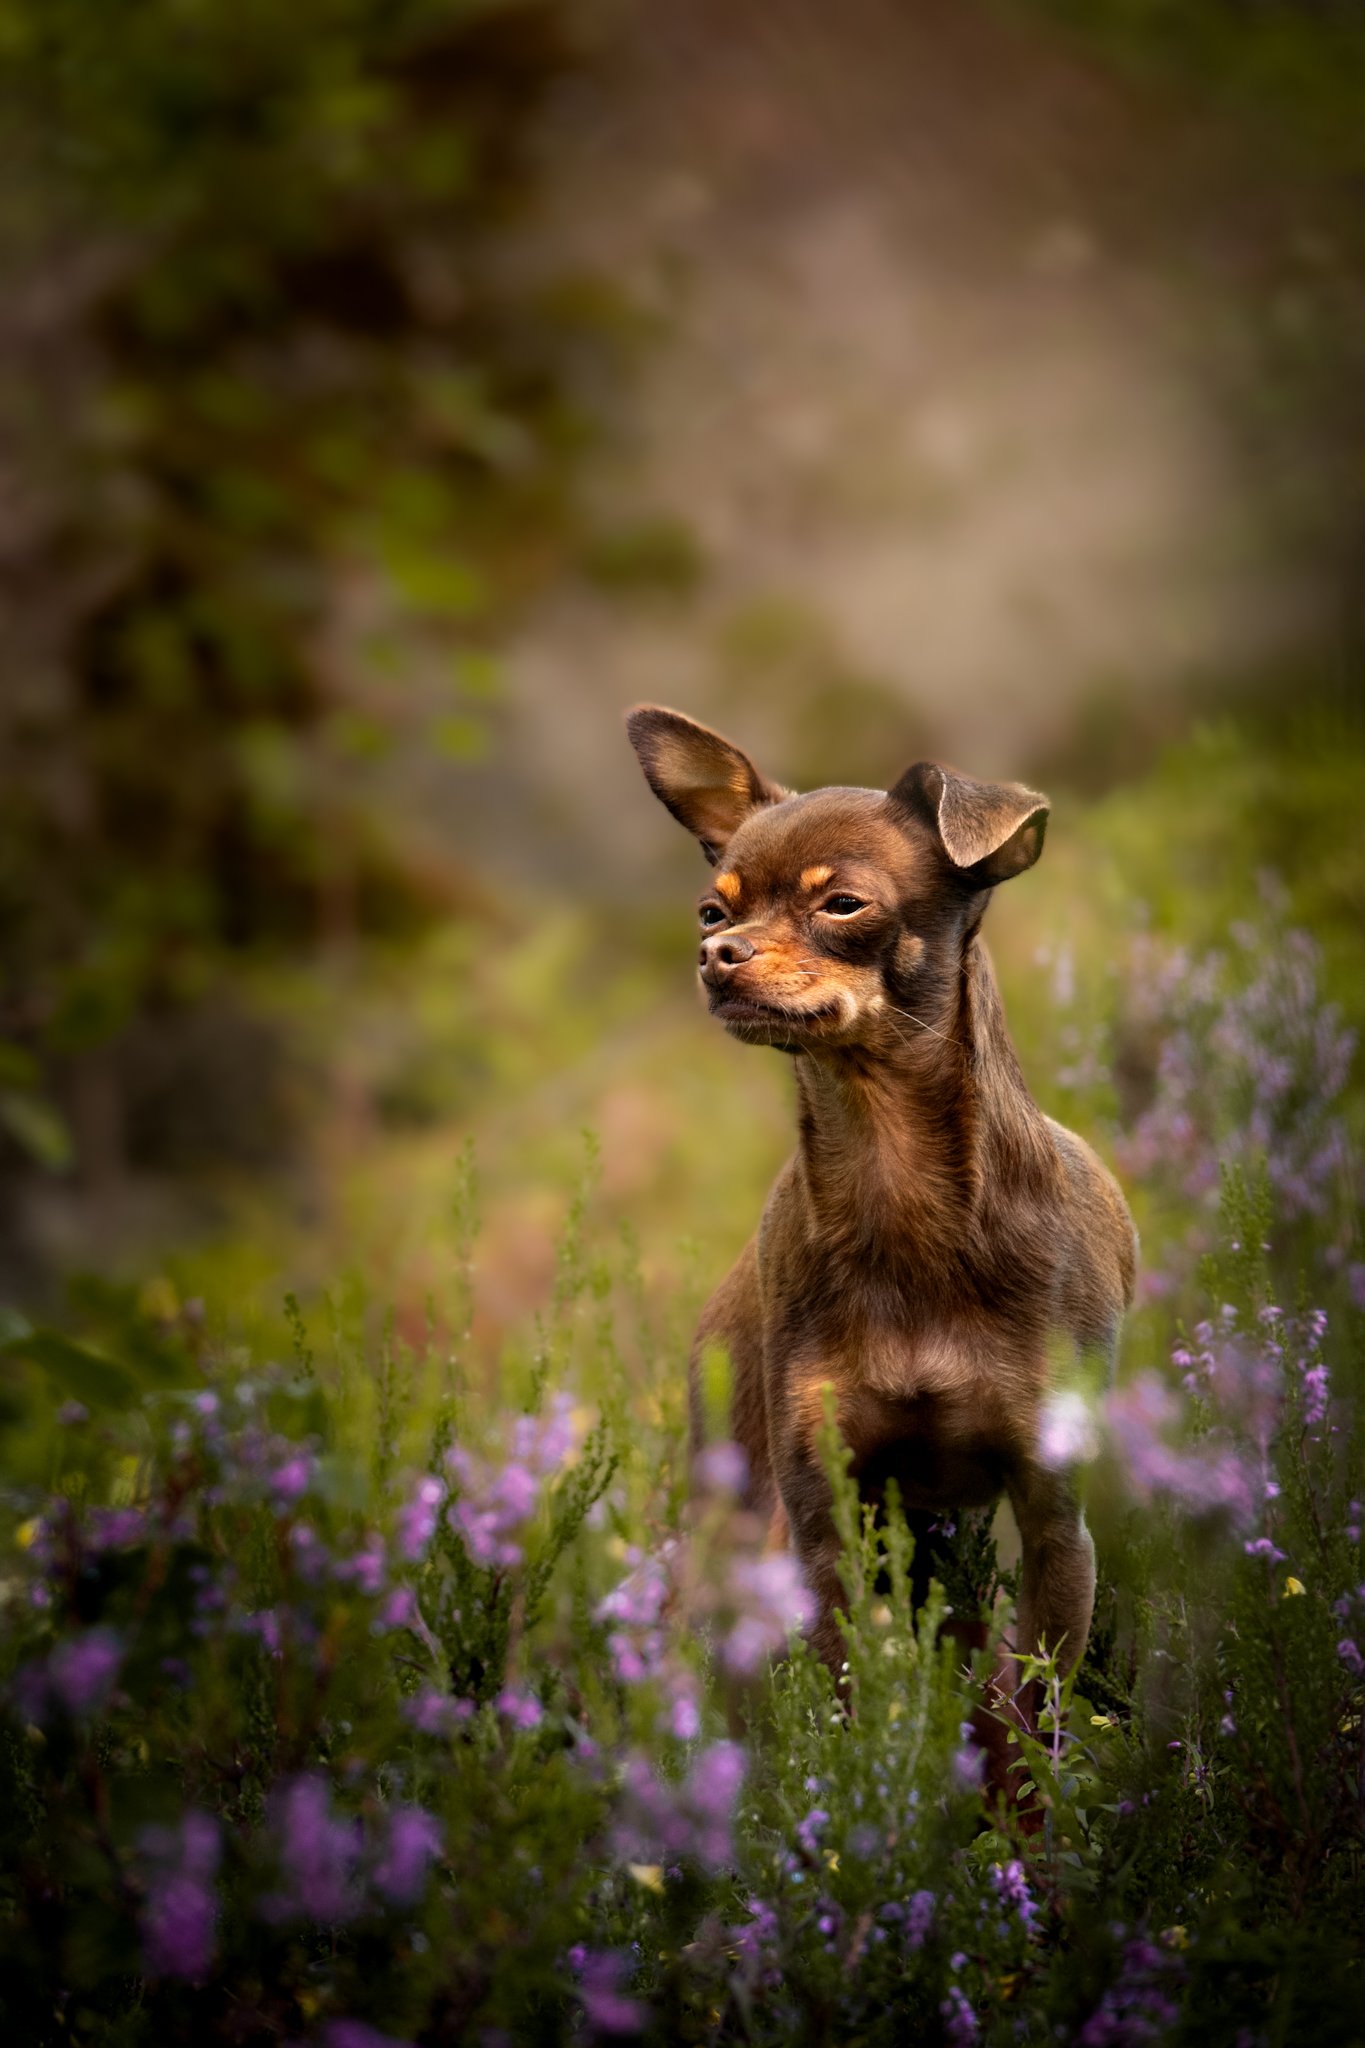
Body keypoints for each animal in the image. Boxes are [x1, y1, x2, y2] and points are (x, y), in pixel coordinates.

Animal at [626, 704, 1137, 1728]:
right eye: (713, 912)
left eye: (842, 906)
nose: (715, 955)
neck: (892, 1173)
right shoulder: (821, 1522)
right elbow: (852, 1709)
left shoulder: (1054, 1522)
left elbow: (1026, 1714)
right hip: (741, 1519)